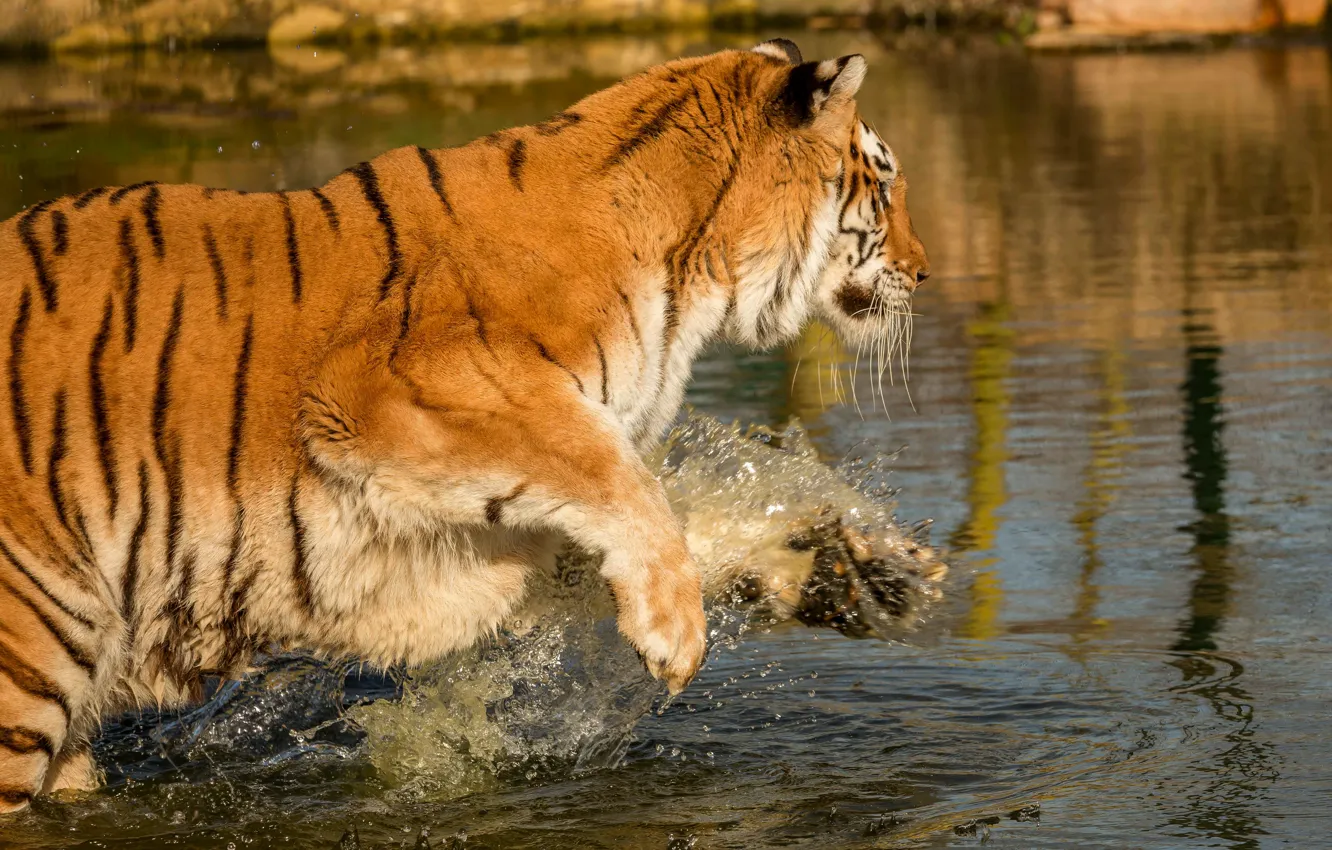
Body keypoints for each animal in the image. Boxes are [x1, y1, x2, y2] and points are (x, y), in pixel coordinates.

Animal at [0, 37, 929, 809]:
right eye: (883, 185)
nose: (923, 273)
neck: (689, 265)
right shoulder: (398, 400)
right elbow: (624, 484)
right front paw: (676, 633)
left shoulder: (472, 533)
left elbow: (662, 519)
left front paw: (851, 571)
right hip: (31, 659)